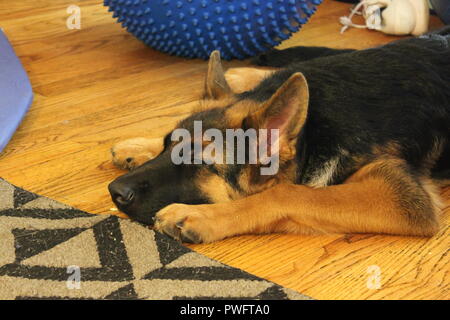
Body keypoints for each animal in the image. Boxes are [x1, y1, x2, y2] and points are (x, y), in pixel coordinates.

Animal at [109, 28, 450, 242]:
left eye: (200, 164)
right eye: (168, 144)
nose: (115, 191)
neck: (313, 127)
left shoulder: (401, 194)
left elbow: (289, 193)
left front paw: (201, 216)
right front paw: (139, 145)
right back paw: (241, 74)